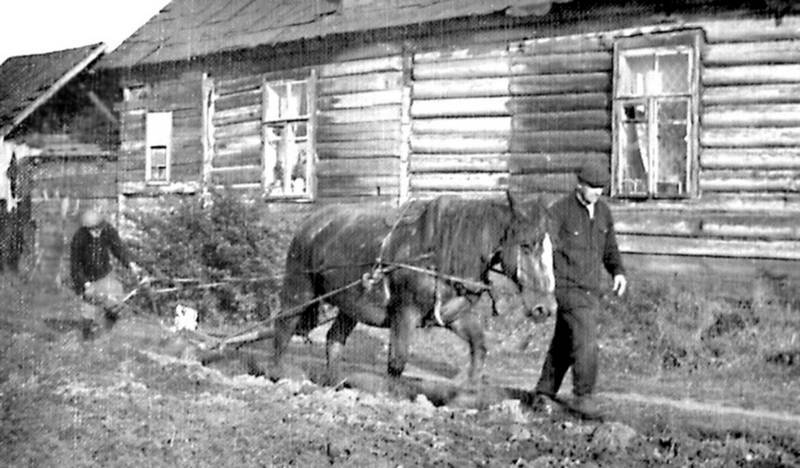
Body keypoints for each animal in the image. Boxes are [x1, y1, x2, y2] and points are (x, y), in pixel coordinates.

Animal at [270, 192, 556, 386]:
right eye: (526, 245)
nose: (545, 308)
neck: (442, 249)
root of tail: (310, 223)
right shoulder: (404, 313)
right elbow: (398, 360)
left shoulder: (454, 315)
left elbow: (478, 346)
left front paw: (471, 391)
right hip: (300, 289)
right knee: (284, 326)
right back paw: (279, 375)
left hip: (351, 304)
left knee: (334, 339)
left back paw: (334, 382)